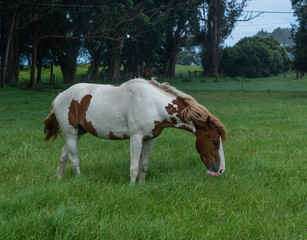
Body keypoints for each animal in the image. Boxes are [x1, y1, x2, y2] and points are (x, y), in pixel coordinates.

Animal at [44, 78, 226, 183]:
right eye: (215, 142)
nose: (220, 170)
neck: (152, 103)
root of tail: (59, 96)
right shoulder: (136, 138)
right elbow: (134, 167)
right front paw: (131, 188)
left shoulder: (151, 138)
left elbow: (143, 165)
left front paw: (141, 186)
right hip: (71, 133)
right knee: (74, 159)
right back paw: (80, 180)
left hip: (77, 134)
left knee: (64, 155)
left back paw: (59, 179)